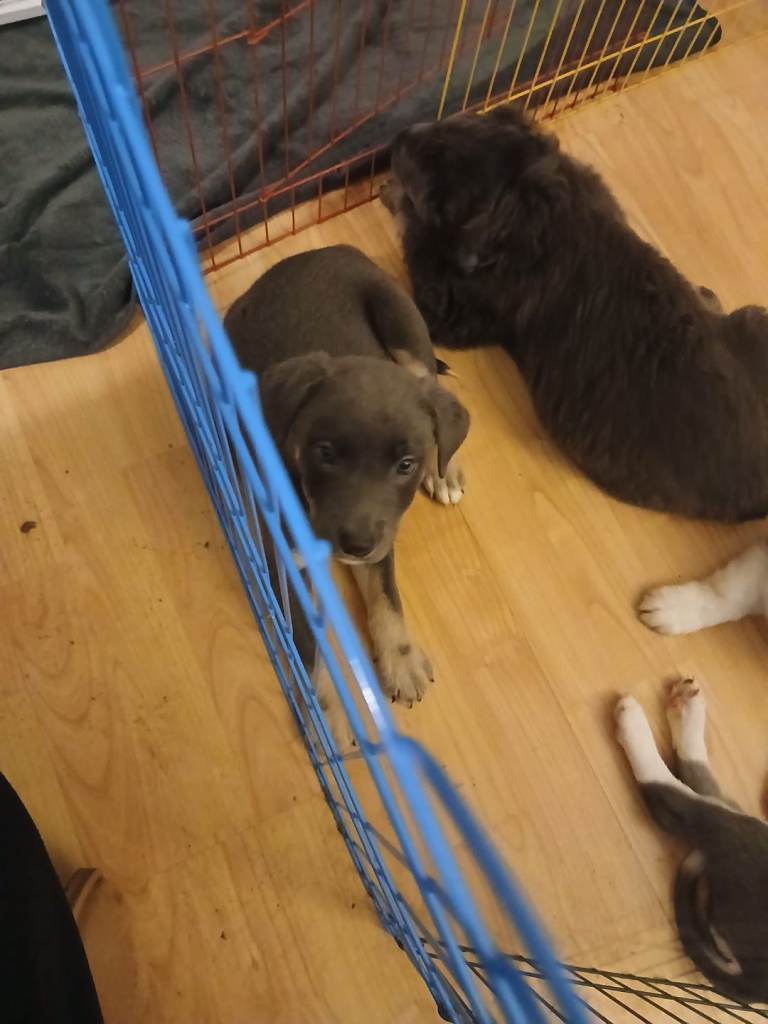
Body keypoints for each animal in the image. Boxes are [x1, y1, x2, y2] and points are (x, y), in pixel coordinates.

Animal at [224, 245, 469, 740]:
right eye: (326, 453)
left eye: (405, 465)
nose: (354, 544)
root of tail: (318, 250)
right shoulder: (285, 561)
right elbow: (310, 644)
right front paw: (330, 713)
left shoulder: (381, 538)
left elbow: (387, 597)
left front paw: (401, 661)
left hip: (403, 325)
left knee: (433, 388)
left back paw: (445, 472)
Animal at [381, 107, 768, 522]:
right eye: (452, 123)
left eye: (436, 187)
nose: (397, 139)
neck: (532, 200)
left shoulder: (460, 311)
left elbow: (421, 248)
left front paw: (399, 203)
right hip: (755, 318)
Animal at [615, 680, 768, 1001]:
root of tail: (756, 983)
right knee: (707, 794)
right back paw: (687, 713)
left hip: (747, 842)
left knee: (673, 803)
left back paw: (634, 726)